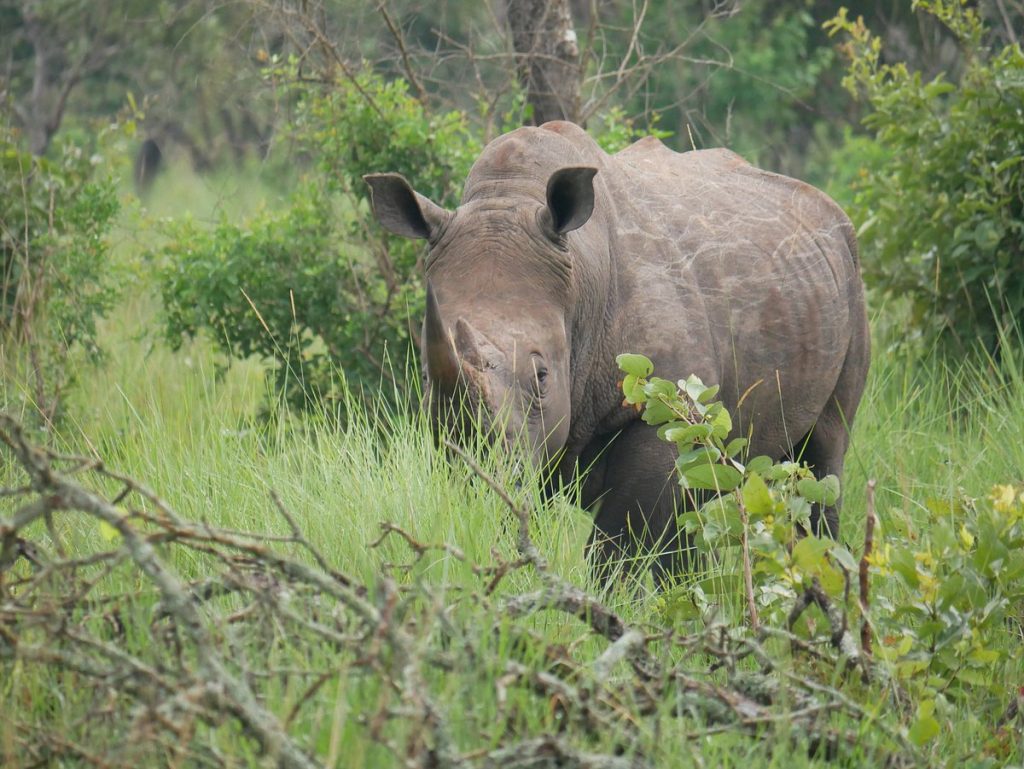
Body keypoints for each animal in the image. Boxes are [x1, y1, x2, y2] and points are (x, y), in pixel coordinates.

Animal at [365, 120, 869, 580]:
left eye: (542, 376)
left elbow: (618, 542)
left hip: (852, 277)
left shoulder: (663, 406)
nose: (475, 468)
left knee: (823, 456)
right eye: (426, 378)